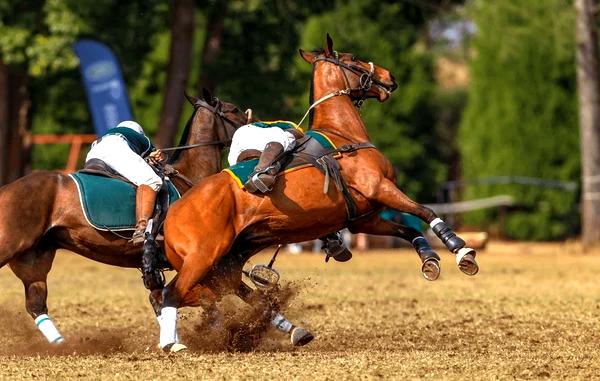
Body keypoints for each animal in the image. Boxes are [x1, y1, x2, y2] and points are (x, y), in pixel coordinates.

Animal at [0, 89, 310, 348]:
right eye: (233, 109)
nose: (262, 124)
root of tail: (7, 188)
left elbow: (235, 297)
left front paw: (295, 331)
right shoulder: (206, 260)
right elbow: (211, 297)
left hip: (35, 258)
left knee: (36, 304)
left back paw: (62, 347)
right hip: (11, 245)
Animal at [159, 35, 478, 350]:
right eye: (352, 58)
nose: (390, 77)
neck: (344, 135)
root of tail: (171, 214)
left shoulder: (363, 217)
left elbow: (409, 230)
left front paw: (430, 260)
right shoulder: (380, 187)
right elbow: (425, 211)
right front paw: (462, 251)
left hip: (227, 260)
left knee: (209, 293)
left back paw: (287, 330)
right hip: (203, 257)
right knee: (170, 294)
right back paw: (176, 343)